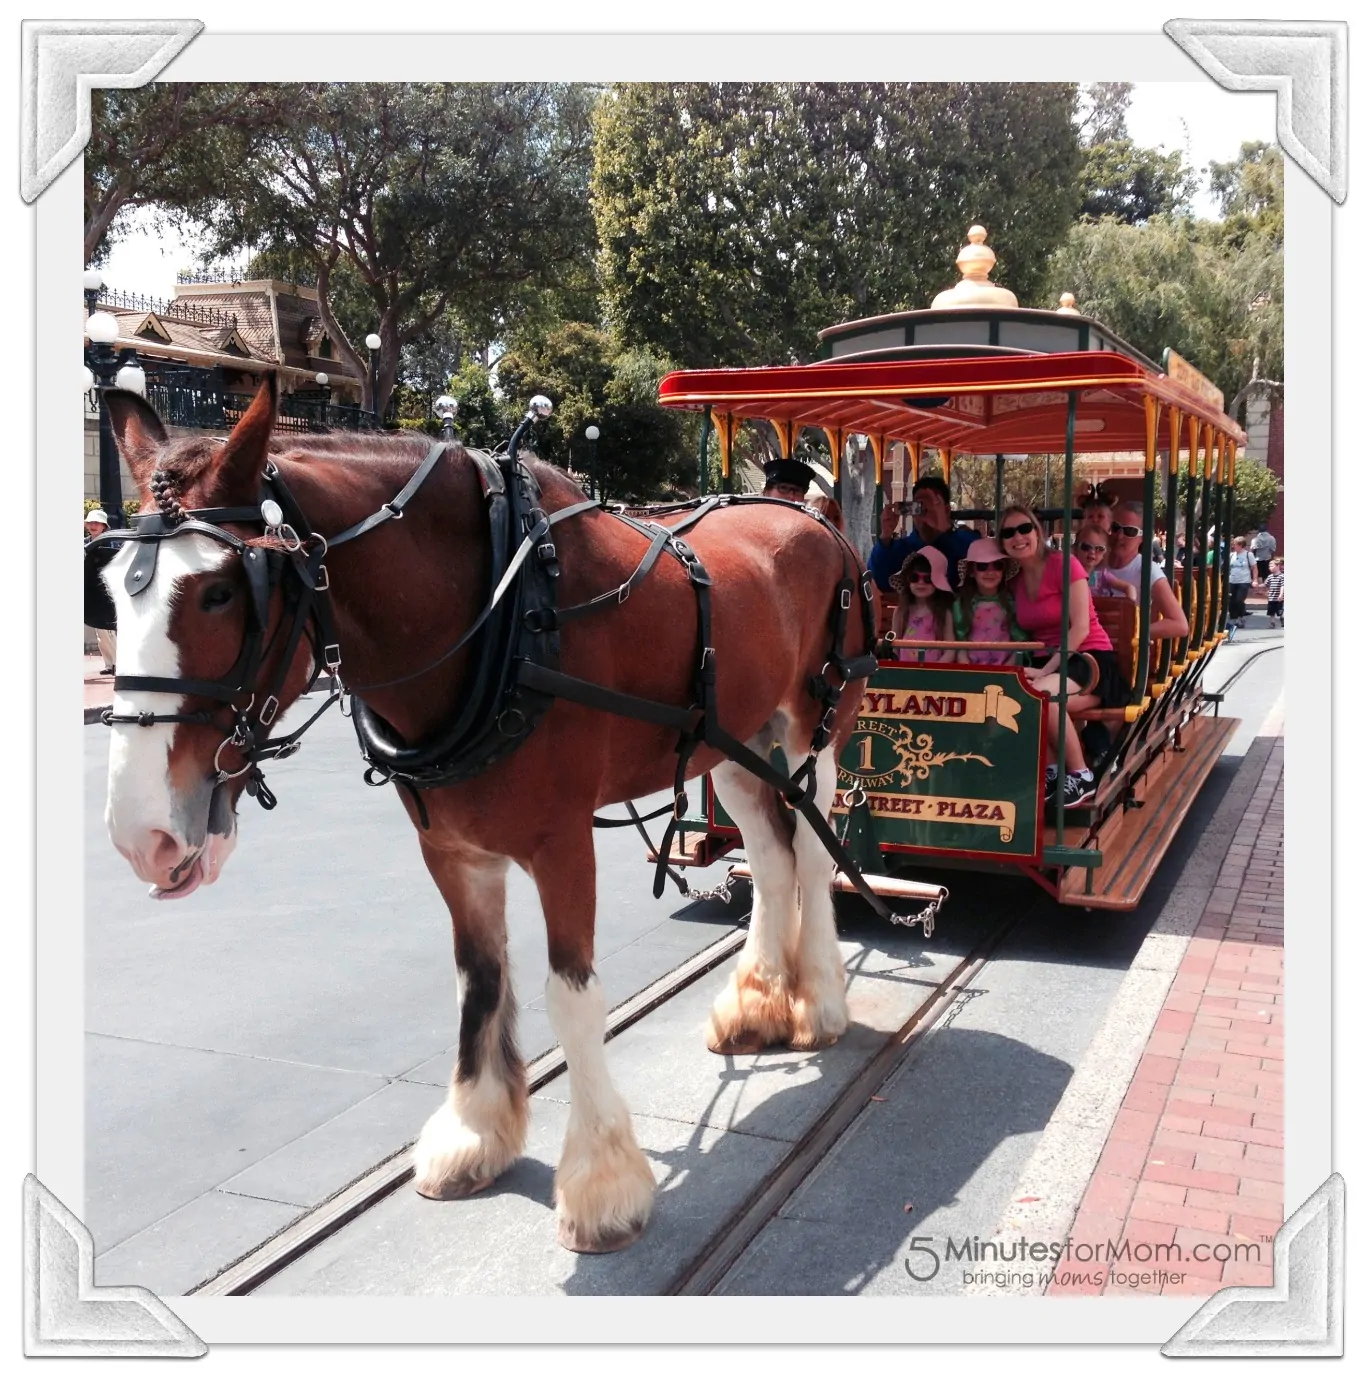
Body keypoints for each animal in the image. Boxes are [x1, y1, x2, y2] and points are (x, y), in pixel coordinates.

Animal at [99, 376, 864, 1257]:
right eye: (110, 588)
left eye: (222, 591)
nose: (142, 833)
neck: (502, 614)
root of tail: (812, 516)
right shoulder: (451, 846)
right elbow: (479, 976)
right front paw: (473, 1134)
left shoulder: (563, 841)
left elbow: (571, 996)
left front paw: (602, 1184)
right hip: (731, 743)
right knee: (770, 856)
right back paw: (758, 1003)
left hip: (814, 727)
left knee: (813, 852)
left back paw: (820, 1005)